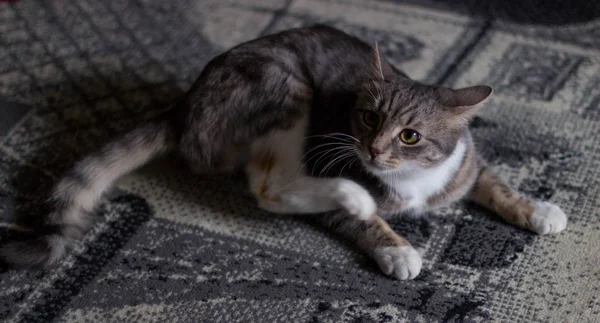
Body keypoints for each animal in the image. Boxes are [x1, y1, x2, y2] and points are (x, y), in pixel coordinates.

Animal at [1, 24, 568, 280]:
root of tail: (183, 107)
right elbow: (365, 222)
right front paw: (398, 248)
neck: (414, 181)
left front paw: (539, 210)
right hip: (284, 84)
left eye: (410, 135)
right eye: (368, 117)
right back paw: (351, 195)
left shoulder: (466, 165)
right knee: (269, 188)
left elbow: (496, 184)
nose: (371, 148)